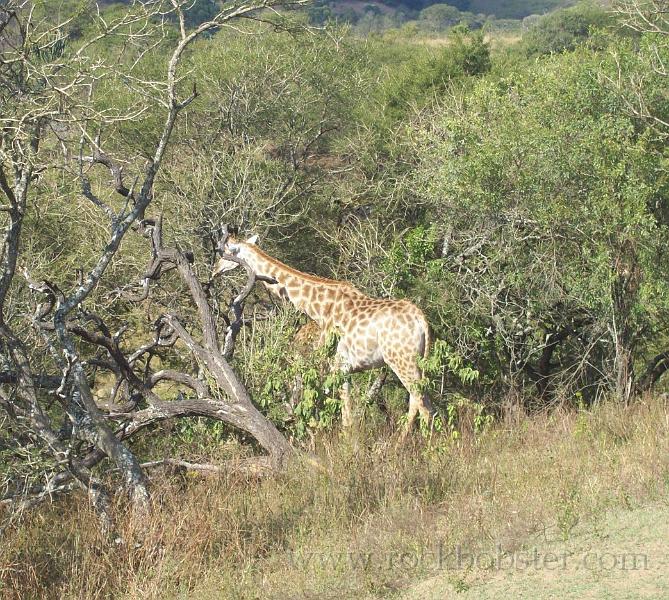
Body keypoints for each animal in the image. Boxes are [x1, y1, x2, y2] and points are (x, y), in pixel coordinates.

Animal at [211, 232, 436, 434]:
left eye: (226, 252)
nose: (214, 271)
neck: (318, 308)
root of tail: (421, 320)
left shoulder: (331, 365)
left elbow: (334, 416)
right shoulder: (343, 369)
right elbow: (344, 417)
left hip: (401, 360)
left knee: (423, 407)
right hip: (417, 362)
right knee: (422, 405)